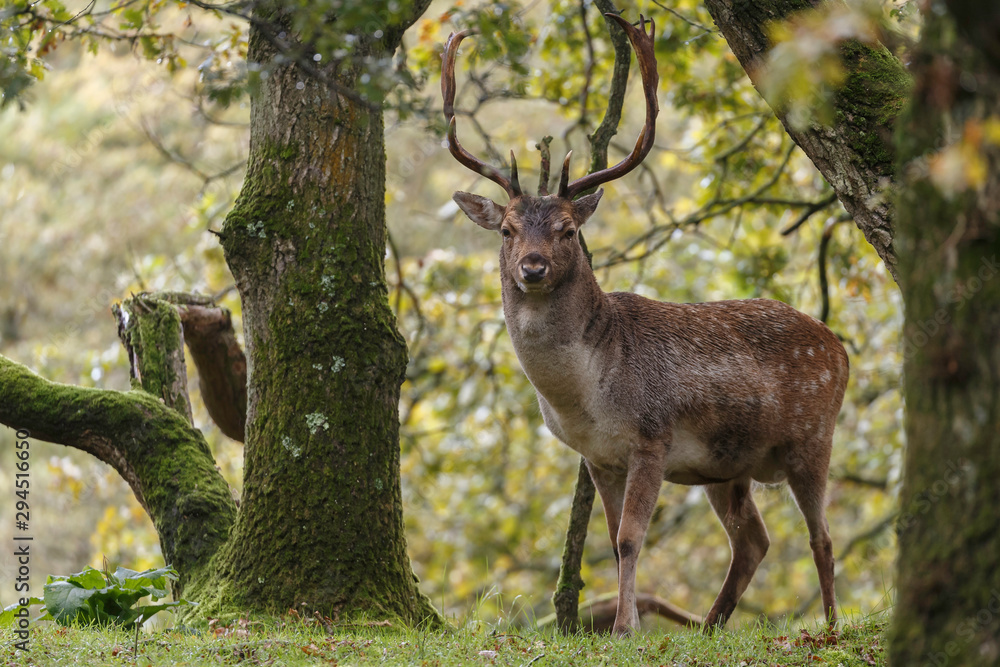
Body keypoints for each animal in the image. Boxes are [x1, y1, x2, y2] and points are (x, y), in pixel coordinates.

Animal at [442, 13, 849, 637]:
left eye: (566, 230)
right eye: (506, 229)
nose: (531, 267)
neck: (583, 396)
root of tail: (843, 349)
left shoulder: (652, 436)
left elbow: (632, 538)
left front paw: (625, 627)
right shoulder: (597, 456)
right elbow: (612, 541)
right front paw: (625, 621)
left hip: (812, 436)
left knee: (821, 538)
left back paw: (828, 625)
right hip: (728, 466)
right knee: (754, 540)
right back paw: (710, 624)